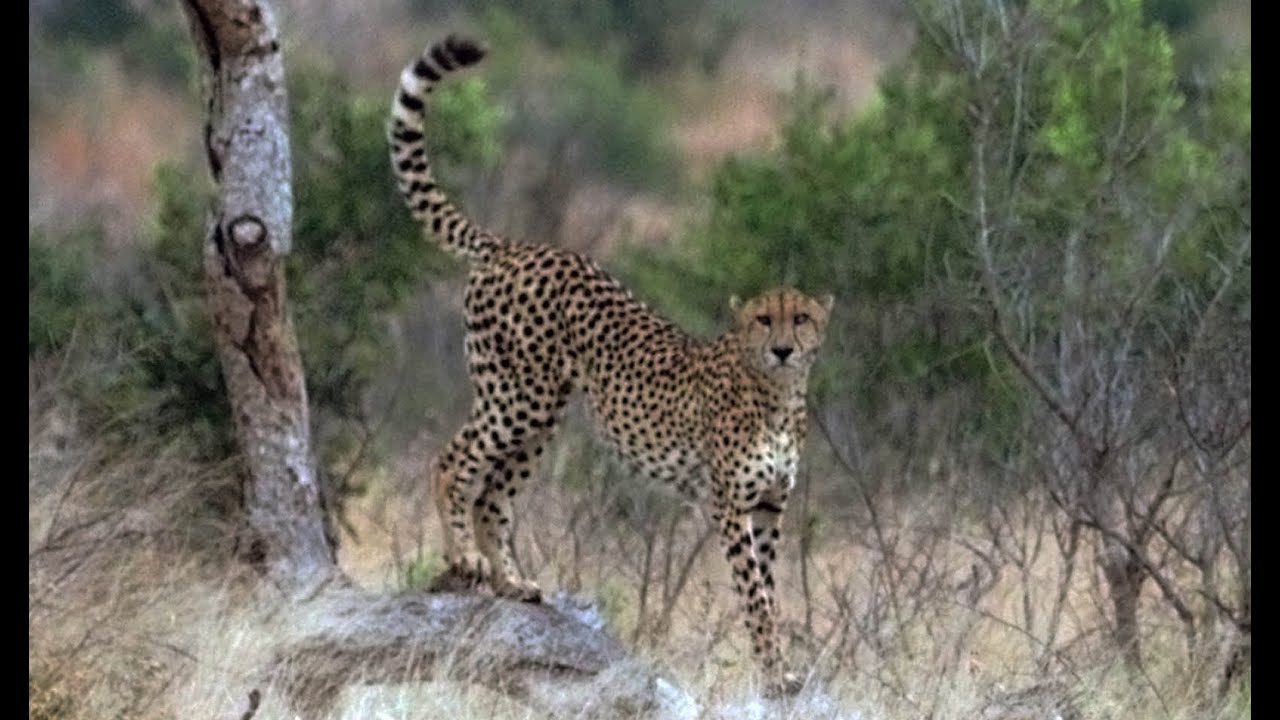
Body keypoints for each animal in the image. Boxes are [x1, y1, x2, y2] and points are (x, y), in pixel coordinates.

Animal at [389, 34, 833, 697]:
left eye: (800, 318)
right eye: (762, 320)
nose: (782, 348)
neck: (777, 396)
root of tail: (515, 245)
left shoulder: (769, 507)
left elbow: (771, 592)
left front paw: (778, 668)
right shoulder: (730, 506)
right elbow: (754, 596)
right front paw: (775, 673)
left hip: (542, 413)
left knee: (494, 492)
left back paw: (511, 582)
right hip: (516, 398)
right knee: (455, 459)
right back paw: (465, 559)